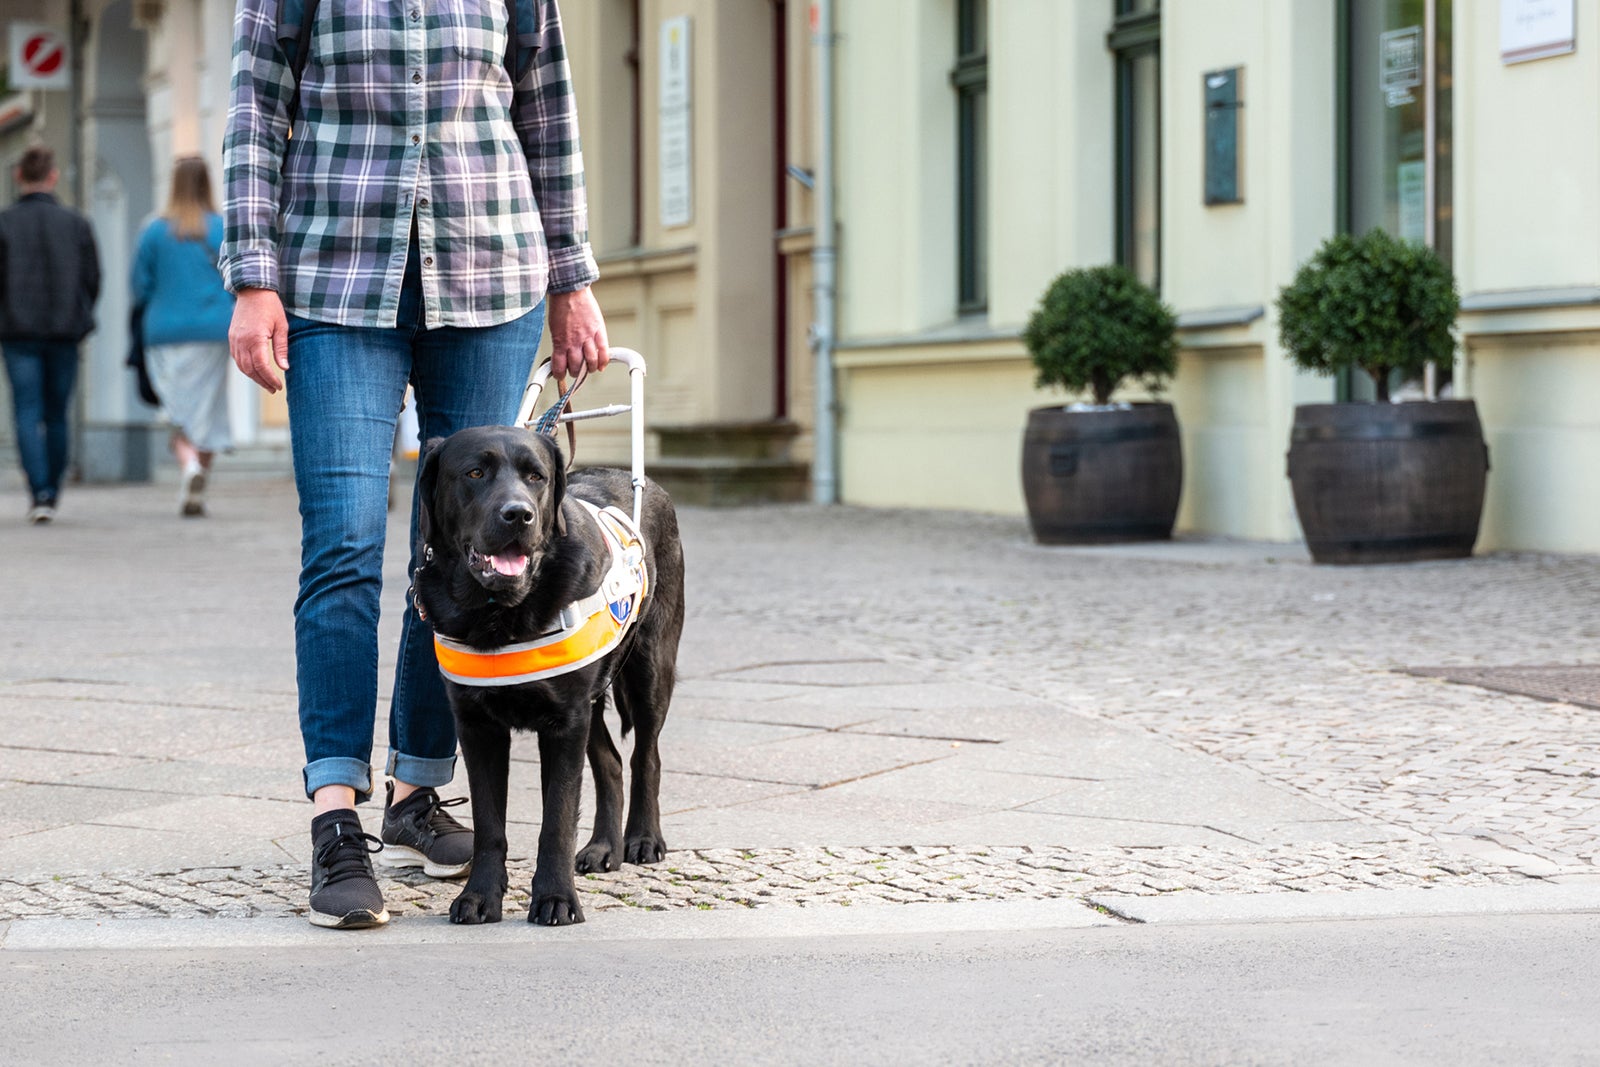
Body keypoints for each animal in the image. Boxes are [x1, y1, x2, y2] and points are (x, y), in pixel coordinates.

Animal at [412, 425, 681, 927]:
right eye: (474, 473)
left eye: (536, 476)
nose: (519, 514)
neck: (498, 612)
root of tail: (640, 479)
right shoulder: (478, 726)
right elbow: (489, 825)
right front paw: (480, 897)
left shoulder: (564, 723)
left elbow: (556, 818)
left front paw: (556, 899)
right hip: (591, 703)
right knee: (610, 763)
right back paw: (603, 848)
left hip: (650, 667)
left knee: (645, 756)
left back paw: (642, 839)